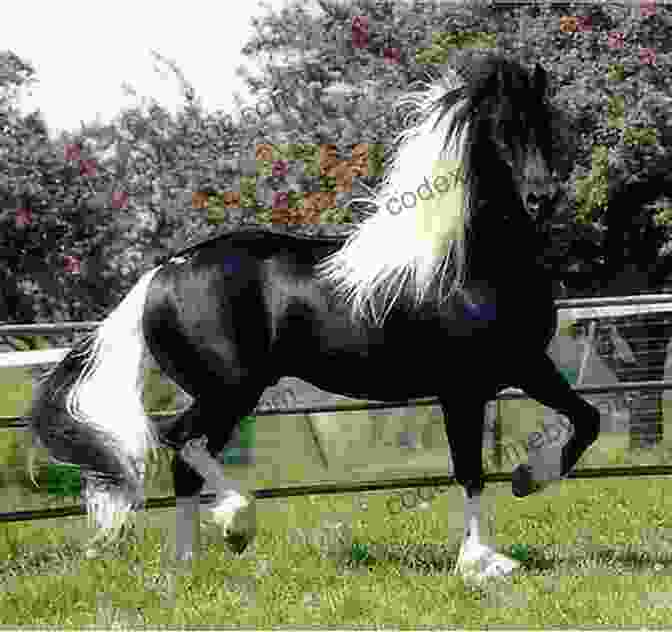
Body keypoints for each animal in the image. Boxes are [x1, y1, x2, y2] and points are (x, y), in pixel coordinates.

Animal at [28, 54, 600, 584]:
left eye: (545, 123)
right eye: (501, 128)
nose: (542, 198)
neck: (465, 264)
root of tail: (160, 274)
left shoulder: (523, 367)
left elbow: (585, 420)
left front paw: (526, 480)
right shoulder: (463, 388)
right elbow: (471, 470)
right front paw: (481, 560)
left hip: (230, 394)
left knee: (184, 461)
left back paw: (188, 564)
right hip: (229, 389)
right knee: (178, 441)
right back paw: (236, 523)